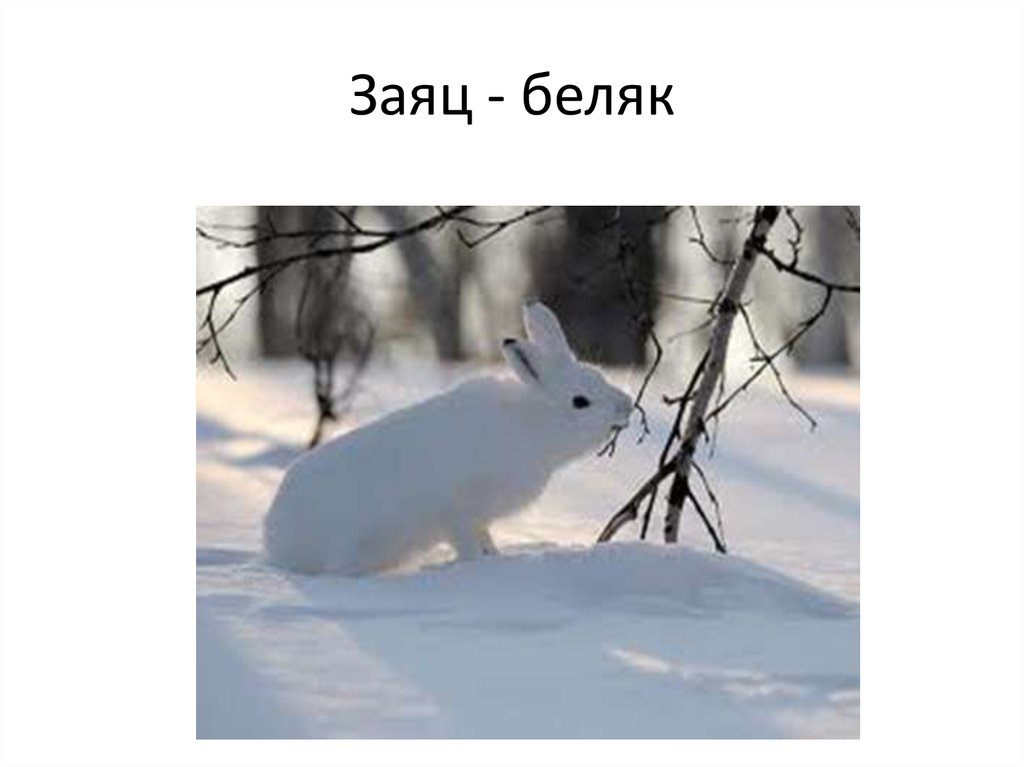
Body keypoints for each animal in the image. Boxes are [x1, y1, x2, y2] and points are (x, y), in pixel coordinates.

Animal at [262, 301, 634, 576]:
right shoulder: (458, 514)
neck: (533, 424)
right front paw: (477, 567)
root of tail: (274, 535)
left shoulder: (480, 518)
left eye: (600, 376)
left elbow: (486, 541)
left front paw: (497, 559)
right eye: (580, 401)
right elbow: (468, 548)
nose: (627, 405)